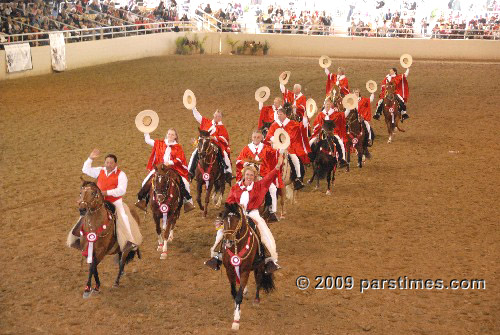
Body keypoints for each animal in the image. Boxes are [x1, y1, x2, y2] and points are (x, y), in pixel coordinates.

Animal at [222, 203, 276, 332]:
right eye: (224, 219)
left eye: (236, 220)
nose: (228, 241)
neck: (236, 247)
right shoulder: (229, 270)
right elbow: (234, 292)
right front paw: (236, 311)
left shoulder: (245, 271)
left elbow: (239, 296)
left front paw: (236, 322)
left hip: (260, 267)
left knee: (258, 281)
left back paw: (256, 300)